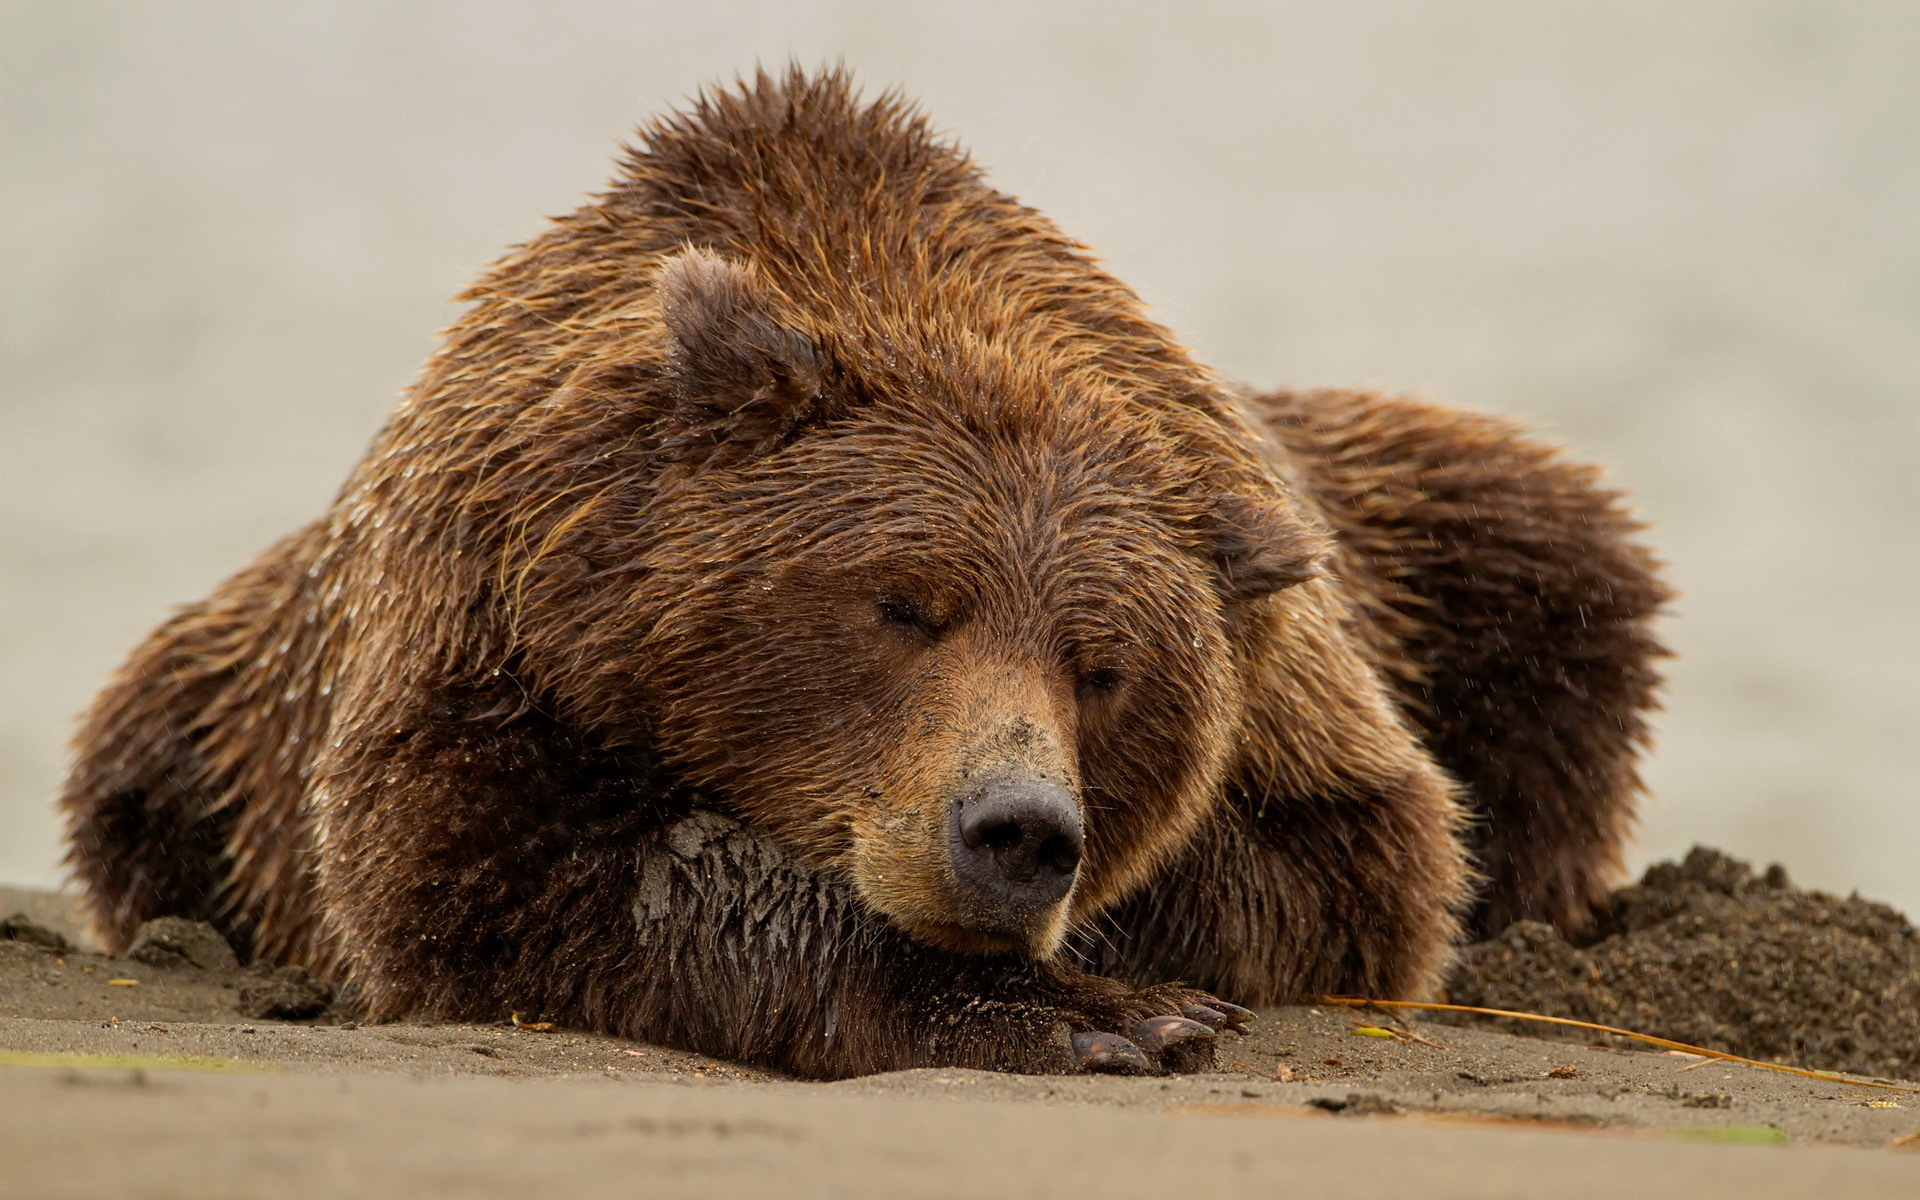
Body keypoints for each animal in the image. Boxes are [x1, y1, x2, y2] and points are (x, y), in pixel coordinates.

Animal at [60, 65, 1666, 1075]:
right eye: (901, 605)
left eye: (1105, 668)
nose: (1016, 831)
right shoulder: (481, 617)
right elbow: (508, 866)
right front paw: (1087, 1014)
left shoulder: (1296, 692)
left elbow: (1354, 864)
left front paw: (1117, 979)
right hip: (191, 725)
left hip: (1456, 529)